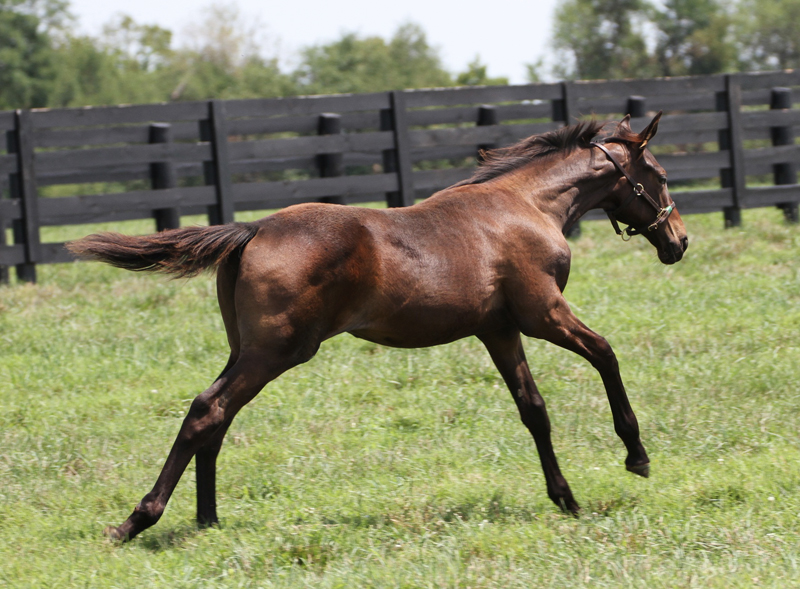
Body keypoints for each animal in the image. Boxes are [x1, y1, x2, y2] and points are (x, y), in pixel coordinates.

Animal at [67, 112, 688, 540]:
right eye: (658, 174)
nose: (678, 242)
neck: (527, 207)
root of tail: (253, 229)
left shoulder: (499, 329)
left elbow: (532, 409)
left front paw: (565, 498)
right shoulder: (543, 314)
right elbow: (606, 353)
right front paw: (636, 455)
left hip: (246, 347)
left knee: (215, 414)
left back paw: (207, 519)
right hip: (277, 350)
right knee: (207, 409)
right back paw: (138, 521)